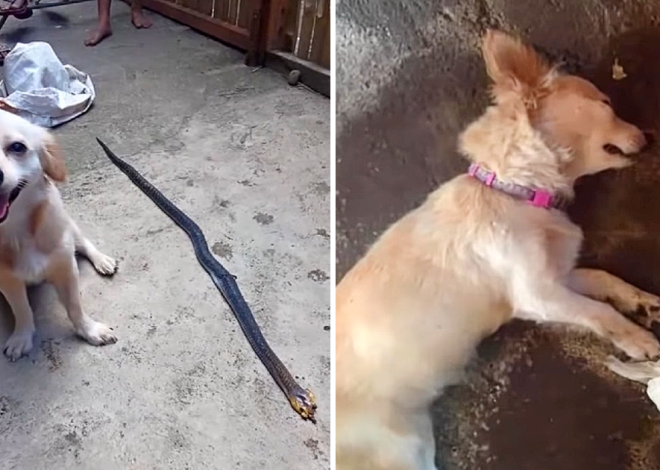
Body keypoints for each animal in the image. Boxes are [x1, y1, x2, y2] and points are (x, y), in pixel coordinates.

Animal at [0, 109, 117, 360]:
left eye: (17, 147)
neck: (17, 231)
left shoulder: (65, 267)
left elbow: (74, 306)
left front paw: (89, 330)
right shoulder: (7, 280)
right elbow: (21, 309)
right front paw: (22, 337)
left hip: (70, 228)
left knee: (84, 243)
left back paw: (102, 260)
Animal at [336, 29, 660, 470]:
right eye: (606, 103)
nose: (652, 136)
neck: (514, 189)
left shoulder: (559, 276)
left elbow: (605, 278)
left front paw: (644, 302)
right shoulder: (537, 295)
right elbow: (599, 312)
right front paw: (639, 341)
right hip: (399, 452)